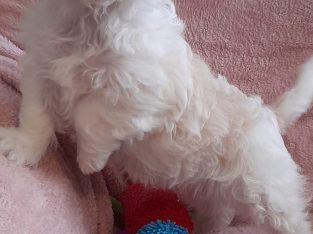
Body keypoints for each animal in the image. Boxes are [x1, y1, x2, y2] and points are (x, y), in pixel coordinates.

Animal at [0, 0, 312, 233]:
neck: (91, 19)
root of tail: (269, 115)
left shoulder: (140, 92)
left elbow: (91, 114)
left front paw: (89, 160)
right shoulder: (41, 62)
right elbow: (36, 112)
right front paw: (22, 148)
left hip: (269, 192)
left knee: (292, 219)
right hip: (216, 195)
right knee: (220, 215)